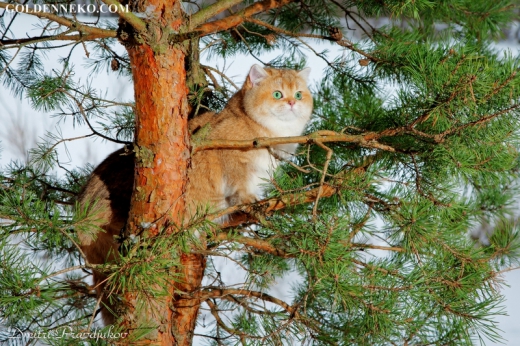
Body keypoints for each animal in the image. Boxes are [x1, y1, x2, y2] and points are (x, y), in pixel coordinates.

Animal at [77, 63, 312, 324]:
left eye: (299, 93)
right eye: (278, 94)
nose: (292, 102)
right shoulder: (232, 160)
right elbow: (240, 188)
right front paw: (249, 203)